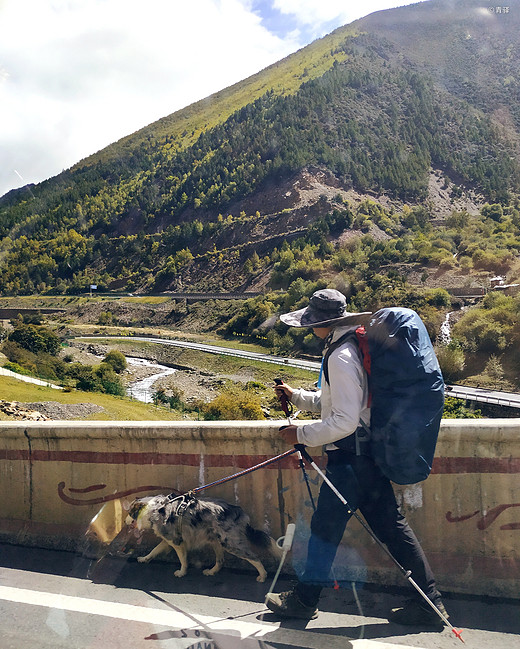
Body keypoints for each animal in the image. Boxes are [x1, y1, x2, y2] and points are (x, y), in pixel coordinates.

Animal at [124, 494, 282, 580]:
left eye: (130, 513)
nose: (124, 522)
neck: (153, 509)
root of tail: (237, 511)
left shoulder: (177, 541)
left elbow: (183, 559)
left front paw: (182, 572)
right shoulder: (168, 540)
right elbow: (154, 551)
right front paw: (144, 559)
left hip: (230, 543)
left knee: (254, 557)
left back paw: (263, 576)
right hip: (216, 540)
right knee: (221, 560)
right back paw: (211, 571)